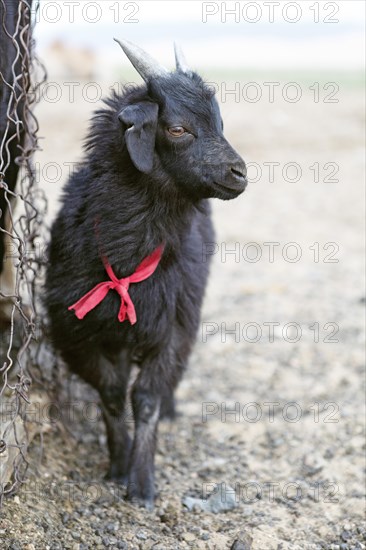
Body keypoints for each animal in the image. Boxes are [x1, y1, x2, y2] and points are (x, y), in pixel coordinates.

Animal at [44, 41, 247, 512]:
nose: (240, 174)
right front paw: (118, 462)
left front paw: (141, 483)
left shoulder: (173, 327)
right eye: (177, 128)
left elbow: (148, 399)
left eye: (219, 123)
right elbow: (112, 392)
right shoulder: (76, 330)